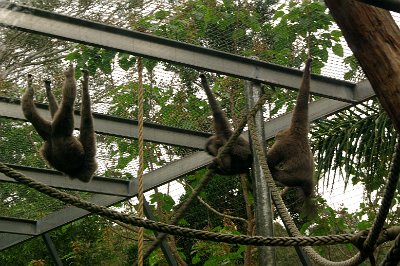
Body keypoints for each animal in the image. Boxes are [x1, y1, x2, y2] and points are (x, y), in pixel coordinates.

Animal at [266, 57, 316, 215]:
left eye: (277, 138)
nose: (276, 136)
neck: (296, 134)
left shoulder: (284, 144)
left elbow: (269, 161)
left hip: (292, 177)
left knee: (278, 173)